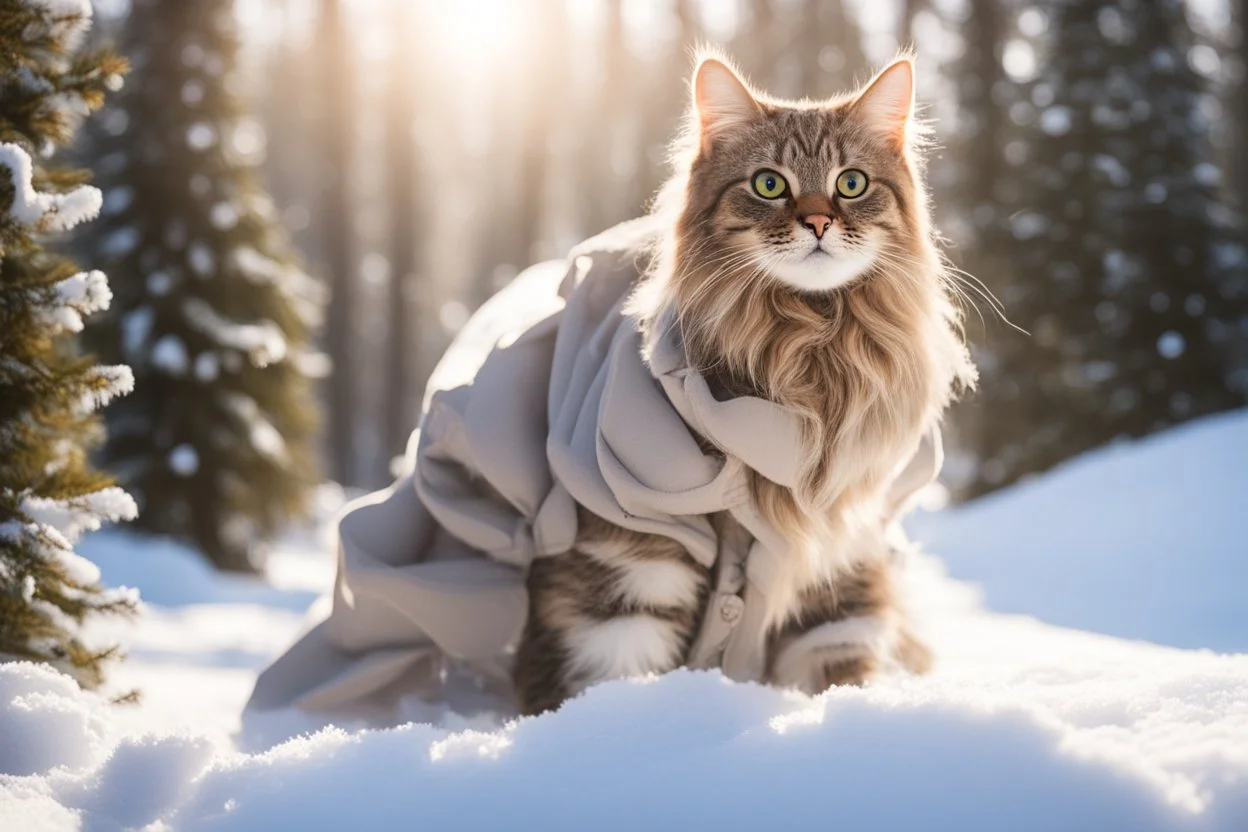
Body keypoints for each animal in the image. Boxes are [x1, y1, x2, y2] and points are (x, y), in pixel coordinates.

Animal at [509, 52, 973, 718]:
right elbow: (612, 677)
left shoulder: (843, 566)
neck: (809, 353)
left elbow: (841, 673)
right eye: (769, 184)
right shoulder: (628, 566)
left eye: (851, 183)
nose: (818, 221)